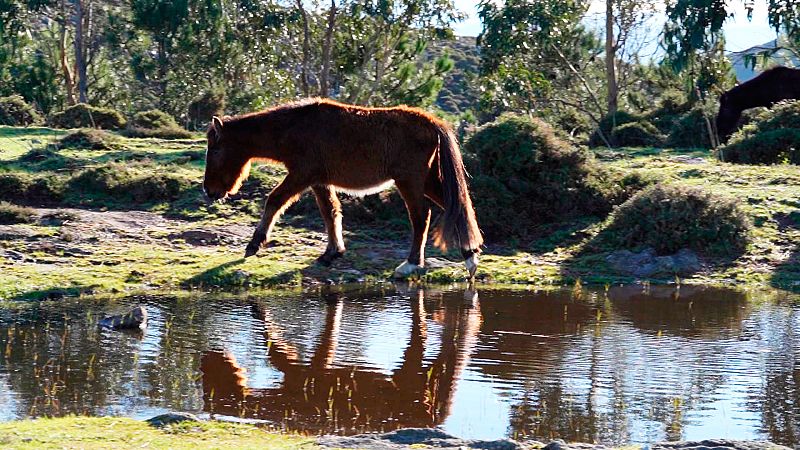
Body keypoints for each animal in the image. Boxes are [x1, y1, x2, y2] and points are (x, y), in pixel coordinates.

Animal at [202, 98, 483, 279]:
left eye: (215, 149)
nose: (209, 190)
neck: (295, 127)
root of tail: (432, 123)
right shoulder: (319, 181)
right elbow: (330, 213)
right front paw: (332, 252)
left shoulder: (301, 175)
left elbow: (274, 200)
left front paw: (255, 243)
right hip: (426, 182)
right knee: (456, 207)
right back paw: (469, 257)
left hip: (410, 181)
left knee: (421, 216)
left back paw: (410, 264)